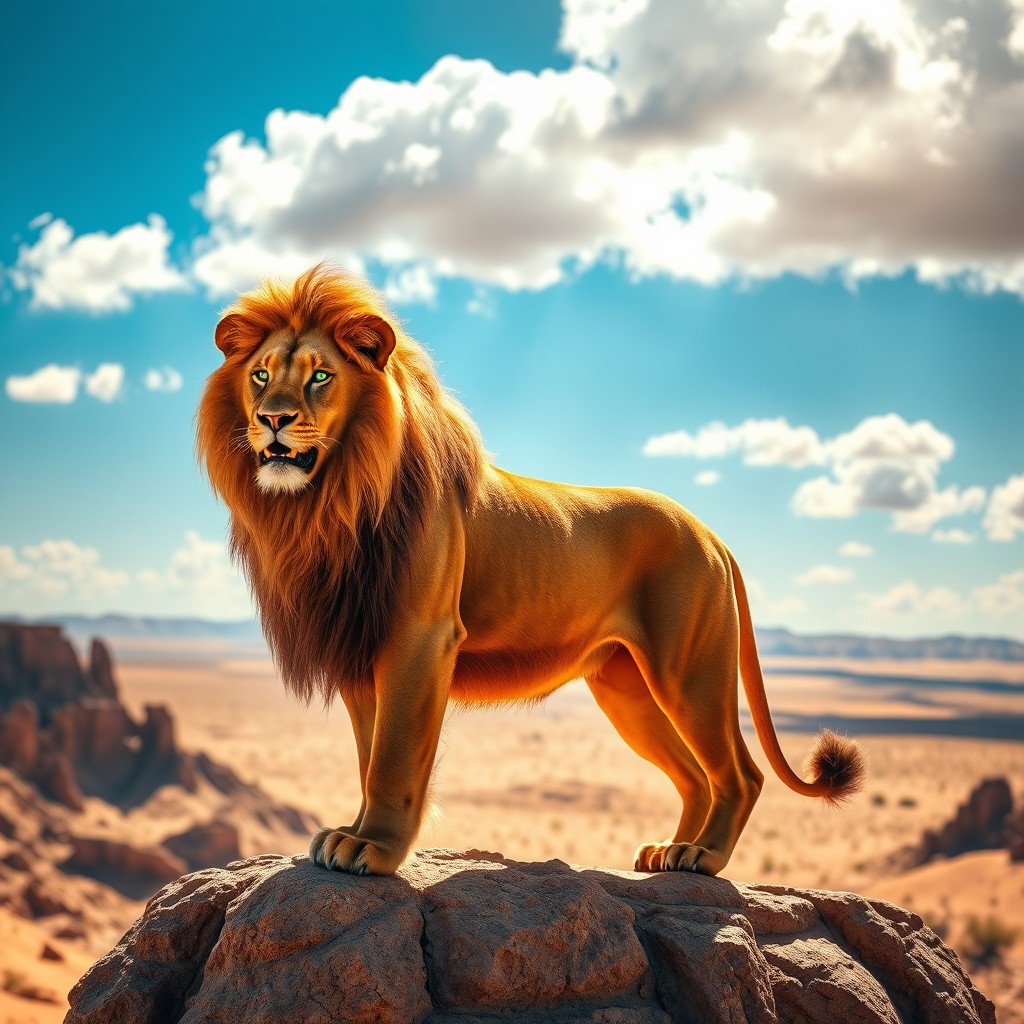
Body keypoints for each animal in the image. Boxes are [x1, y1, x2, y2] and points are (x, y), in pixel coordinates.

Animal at [196, 264, 866, 877]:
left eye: (320, 376)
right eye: (260, 375)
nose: (272, 419)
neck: (330, 500)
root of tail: (713, 534)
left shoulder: (419, 637)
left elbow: (392, 756)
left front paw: (375, 849)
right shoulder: (360, 638)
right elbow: (369, 755)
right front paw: (352, 833)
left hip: (689, 671)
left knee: (740, 774)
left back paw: (702, 856)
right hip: (626, 689)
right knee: (695, 777)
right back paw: (667, 853)